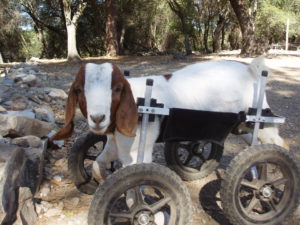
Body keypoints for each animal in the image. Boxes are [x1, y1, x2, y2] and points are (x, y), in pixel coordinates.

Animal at [51, 57, 288, 180]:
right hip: (243, 125)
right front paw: (100, 178)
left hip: (261, 119)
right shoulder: (115, 144)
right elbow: (98, 164)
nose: (98, 117)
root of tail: (250, 70)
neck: (140, 101)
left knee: (278, 143)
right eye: (79, 89)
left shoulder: (137, 152)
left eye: (117, 88)